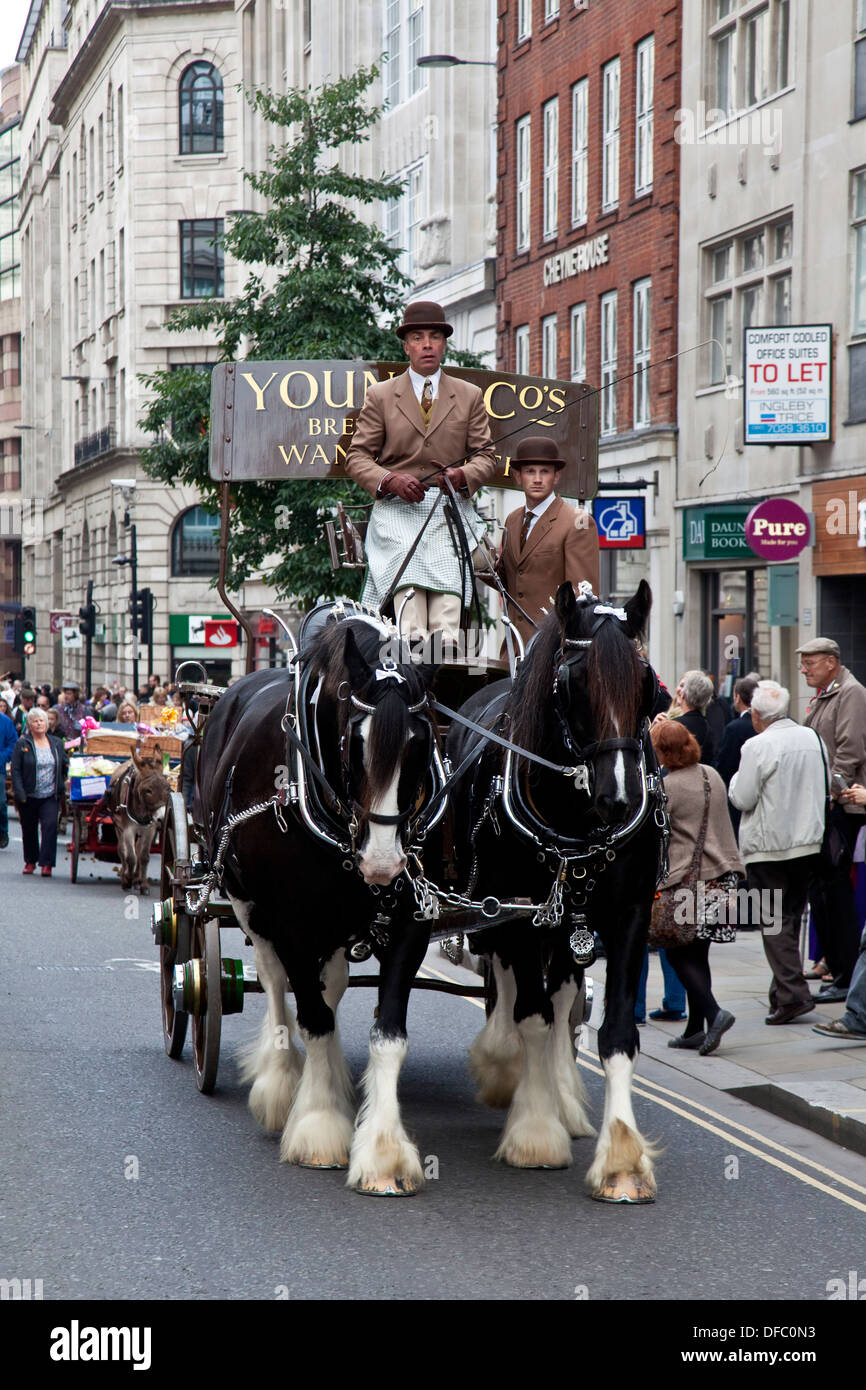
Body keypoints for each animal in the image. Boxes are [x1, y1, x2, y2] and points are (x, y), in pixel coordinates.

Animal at [194, 617, 439, 1195]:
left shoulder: (409, 923)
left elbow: (387, 1033)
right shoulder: (289, 924)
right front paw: (320, 1127)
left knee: (329, 986)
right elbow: (313, 1018)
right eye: (354, 741)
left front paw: (383, 1153)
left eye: (421, 744)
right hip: (248, 904)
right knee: (276, 984)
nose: (382, 862)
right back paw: (283, 1085)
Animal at [450, 581, 667, 1200]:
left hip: (572, 921)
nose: (619, 798)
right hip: (502, 910)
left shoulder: (627, 914)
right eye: (574, 683)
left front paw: (621, 1158)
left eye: (648, 685)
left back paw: (564, 1095)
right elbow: (533, 1016)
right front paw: (535, 1134)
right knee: (514, 988)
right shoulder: (518, 913)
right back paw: (507, 1067)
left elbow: (613, 1031)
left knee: (567, 990)